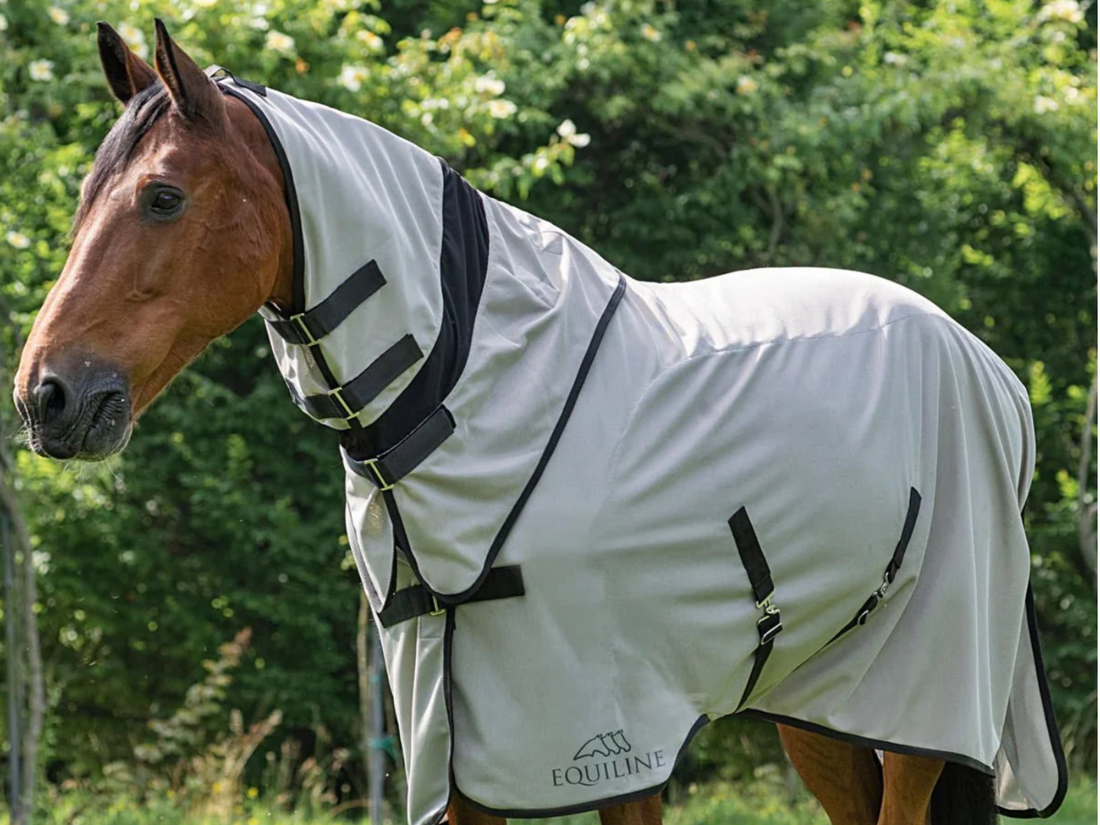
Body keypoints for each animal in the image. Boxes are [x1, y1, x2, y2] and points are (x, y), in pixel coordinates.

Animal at [12, 22, 1065, 825]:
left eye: (162, 196)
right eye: (83, 196)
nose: (47, 396)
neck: (465, 389)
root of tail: (992, 373)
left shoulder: (615, 735)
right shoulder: (454, 739)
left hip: (921, 697)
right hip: (822, 702)